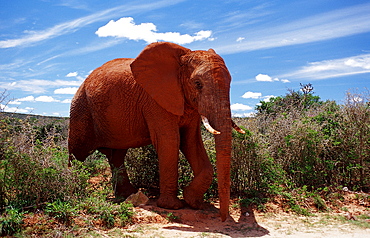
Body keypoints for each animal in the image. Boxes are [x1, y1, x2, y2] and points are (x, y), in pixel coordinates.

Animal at [68, 41, 244, 221]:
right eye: (197, 84)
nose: (223, 219)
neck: (182, 56)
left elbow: (191, 142)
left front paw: (193, 202)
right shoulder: (155, 101)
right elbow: (170, 141)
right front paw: (172, 206)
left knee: (116, 155)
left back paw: (127, 195)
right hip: (80, 108)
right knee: (77, 152)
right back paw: (73, 186)